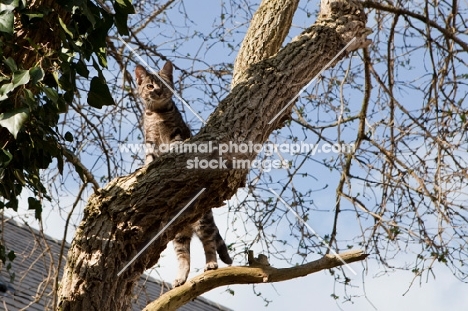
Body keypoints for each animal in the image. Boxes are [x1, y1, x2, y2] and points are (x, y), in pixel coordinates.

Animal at [135, 62, 232, 288]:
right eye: (150, 86)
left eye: (163, 85)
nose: (158, 91)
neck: (157, 114)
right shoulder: (150, 140)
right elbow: (149, 157)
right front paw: (146, 167)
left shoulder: (177, 134)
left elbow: (175, 146)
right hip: (178, 235)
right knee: (184, 256)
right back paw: (180, 277)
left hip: (203, 221)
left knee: (209, 242)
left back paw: (212, 264)